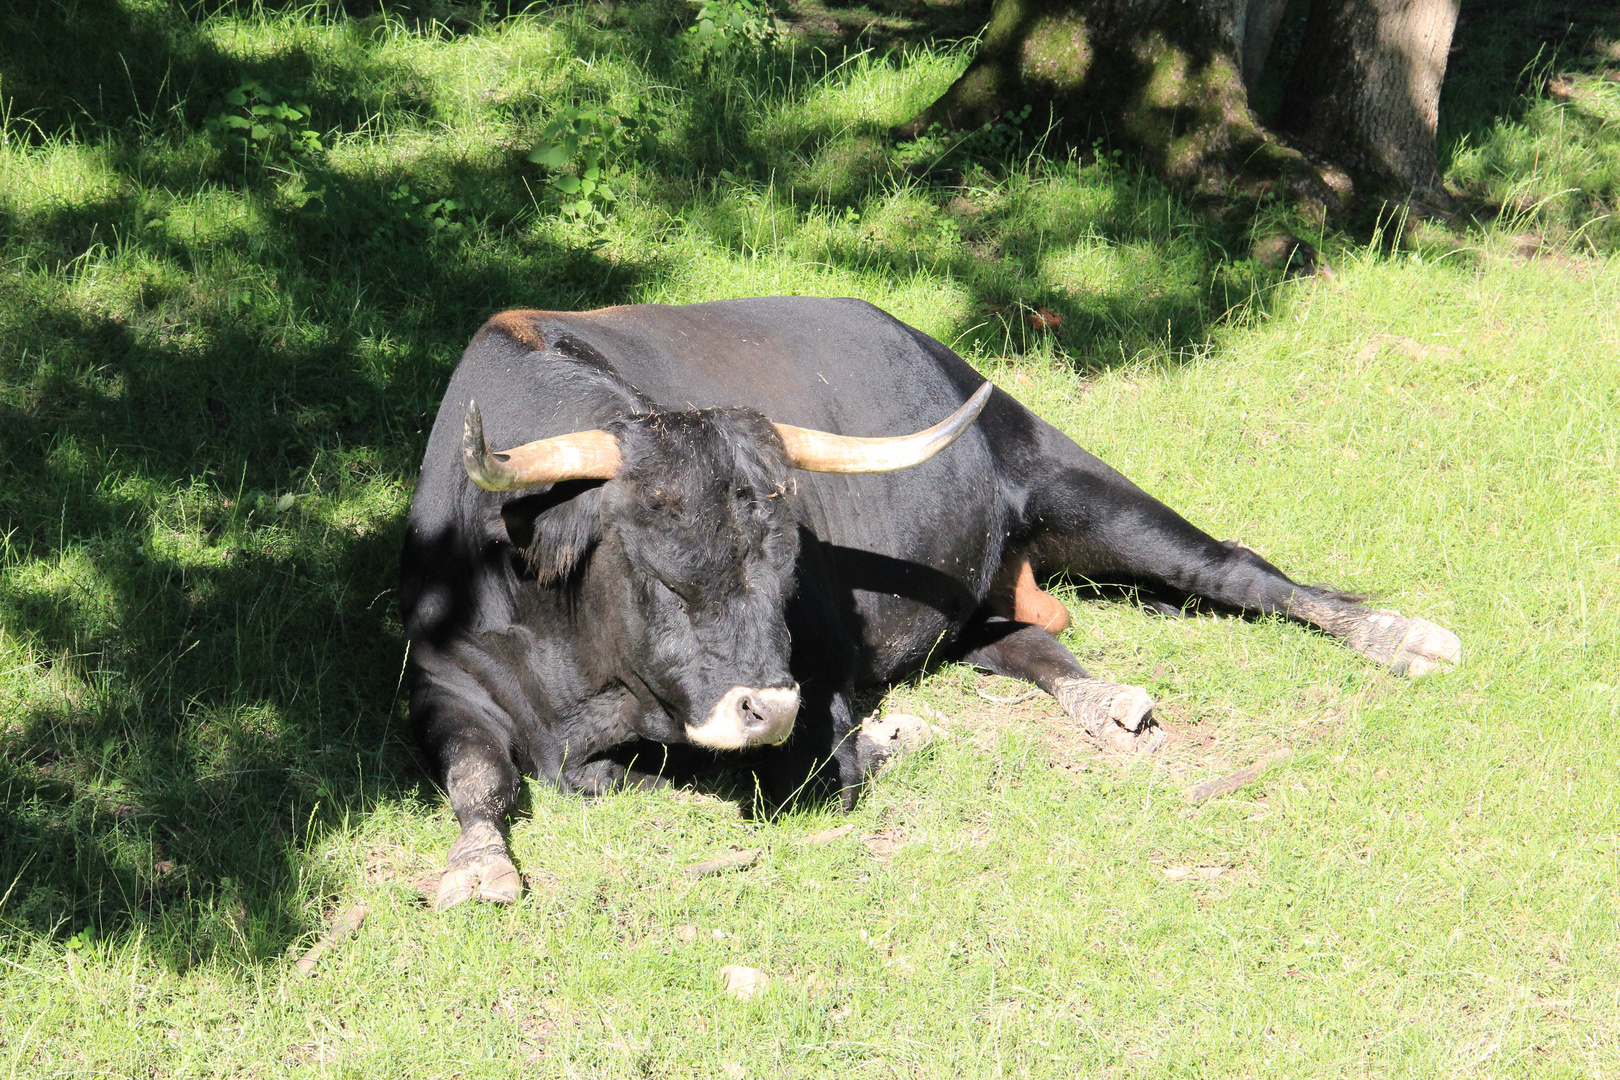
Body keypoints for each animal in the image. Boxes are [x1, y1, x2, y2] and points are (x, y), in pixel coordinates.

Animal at [398, 297, 1464, 913]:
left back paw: (1403, 636)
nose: (765, 704)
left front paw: (882, 740)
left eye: (786, 564)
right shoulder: (440, 686)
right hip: (981, 591)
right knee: (1029, 641)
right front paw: (479, 865)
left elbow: (795, 772)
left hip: (1075, 481)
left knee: (1239, 571)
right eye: (659, 568)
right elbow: (488, 780)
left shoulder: (821, 667)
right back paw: (1107, 703)